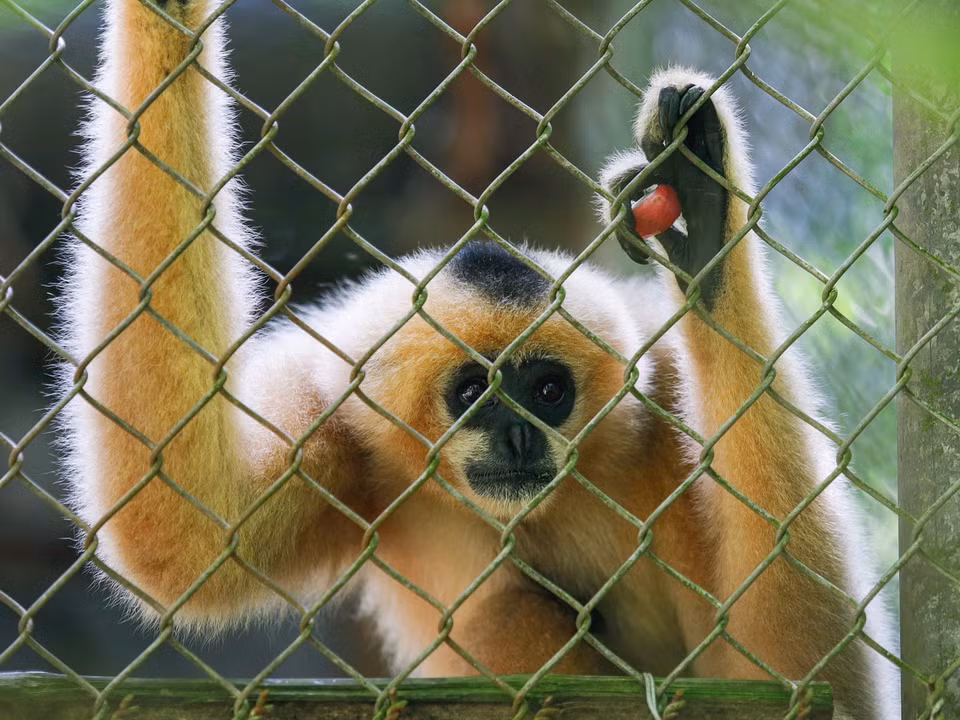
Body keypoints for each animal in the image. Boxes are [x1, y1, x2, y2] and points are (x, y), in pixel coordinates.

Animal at [57, 0, 898, 718]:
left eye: (549, 391)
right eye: (472, 393)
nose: (520, 435)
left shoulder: (661, 411)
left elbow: (795, 679)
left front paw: (708, 237)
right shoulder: (333, 422)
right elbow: (183, 529)